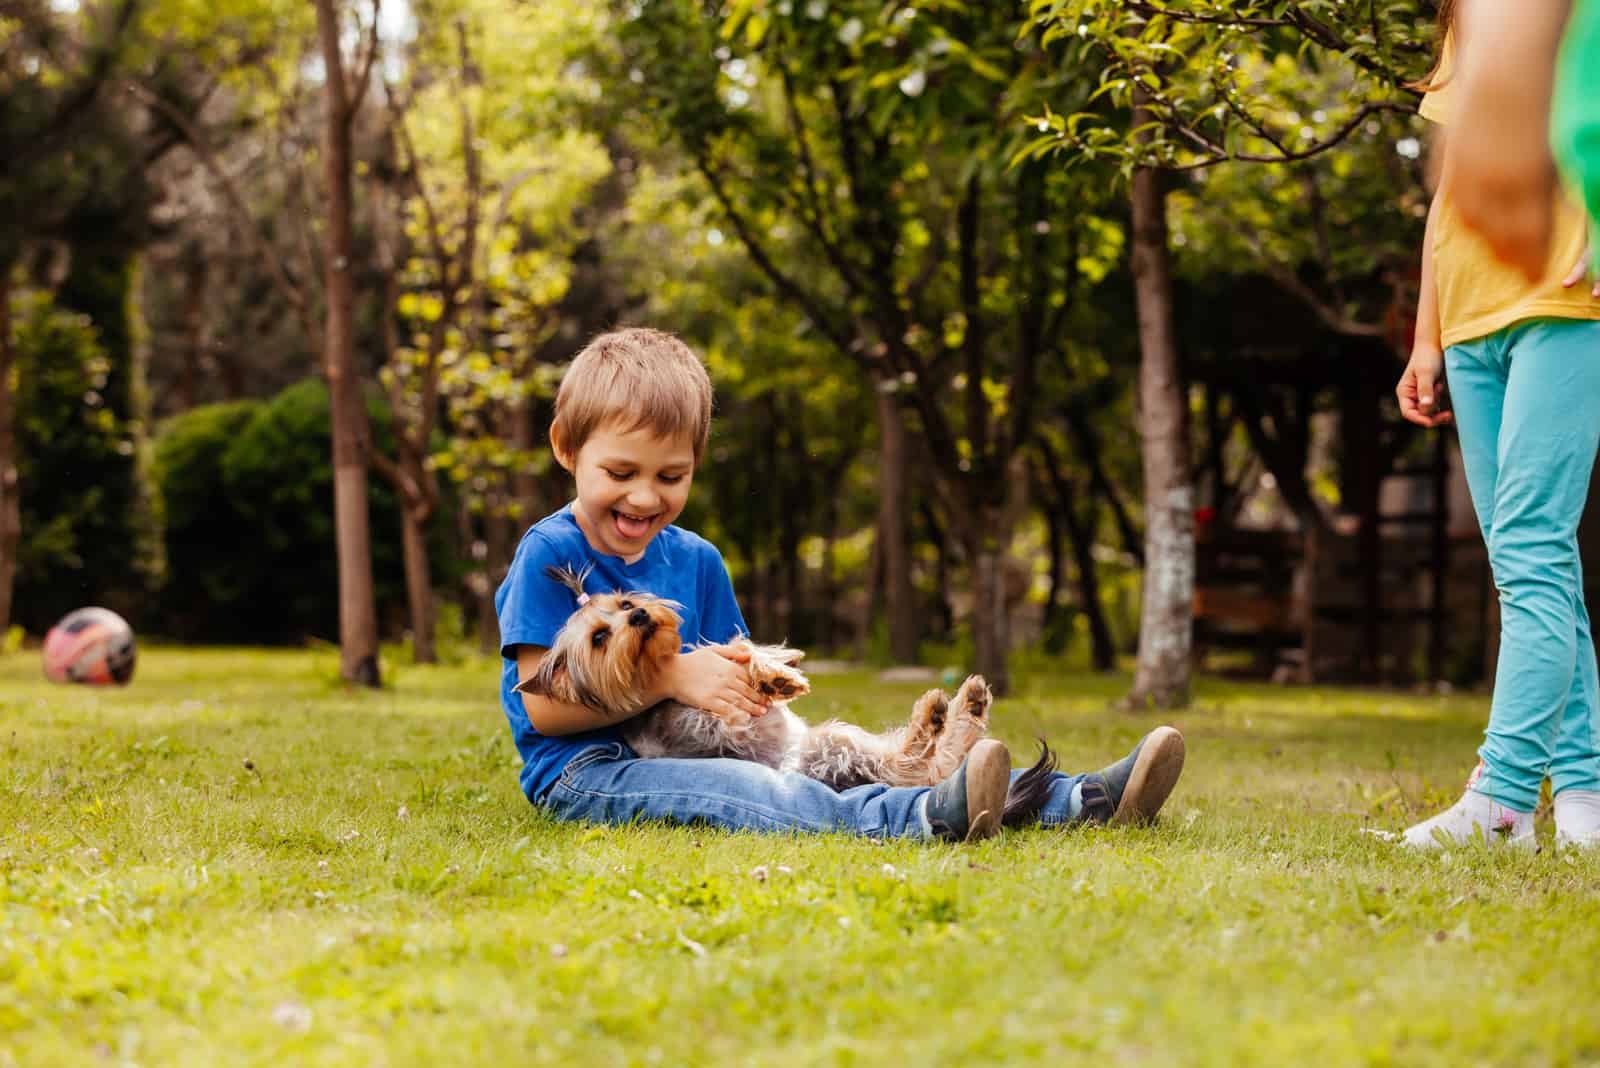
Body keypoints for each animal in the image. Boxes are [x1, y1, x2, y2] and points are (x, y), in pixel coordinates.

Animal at [518, 565, 1056, 824]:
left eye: (625, 602)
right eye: (598, 638)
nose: (639, 616)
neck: (657, 666)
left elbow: (740, 645)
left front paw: (784, 665)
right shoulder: (715, 718)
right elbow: (732, 663)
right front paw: (775, 677)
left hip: (837, 746)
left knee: (917, 765)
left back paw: (959, 709)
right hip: (833, 751)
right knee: (918, 768)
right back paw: (949, 717)